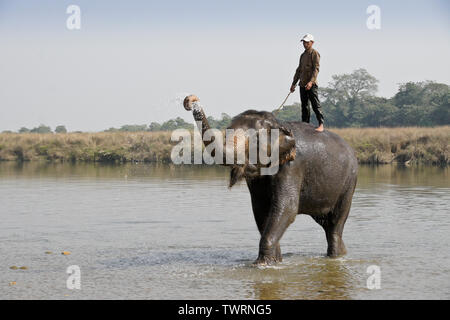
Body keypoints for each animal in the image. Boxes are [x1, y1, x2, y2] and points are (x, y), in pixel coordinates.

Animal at [181, 94, 356, 264]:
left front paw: (262, 264)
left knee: (335, 225)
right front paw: (274, 261)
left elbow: (287, 207)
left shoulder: (292, 165)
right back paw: (342, 253)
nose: (191, 100)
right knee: (326, 224)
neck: (278, 124)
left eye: (254, 141)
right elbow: (261, 209)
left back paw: (336, 256)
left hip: (349, 182)